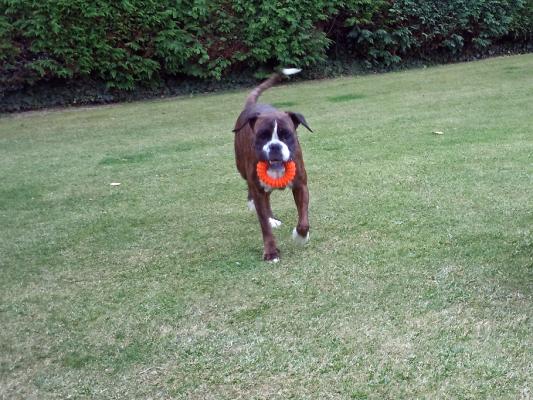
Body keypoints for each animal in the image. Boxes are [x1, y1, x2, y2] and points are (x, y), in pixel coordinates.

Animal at [233, 70, 312, 260]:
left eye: (287, 135)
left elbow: (303, 220)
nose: (274, 146)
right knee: (252, 190)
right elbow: (265, 227)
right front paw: (271, 252)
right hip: (243, 169)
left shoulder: (300, 186)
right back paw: (257, 208)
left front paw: (300, 237)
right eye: (262, 136)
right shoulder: (258, 188)